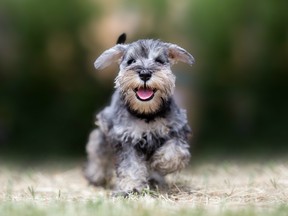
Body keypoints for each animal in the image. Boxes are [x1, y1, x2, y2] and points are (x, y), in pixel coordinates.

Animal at [84, 34, 195, 196]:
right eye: (131, 61)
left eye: (159, 61)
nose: (145, 73)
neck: (146, 113)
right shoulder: (126, 139)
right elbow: (131, 166)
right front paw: (131, 187)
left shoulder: (177, 129)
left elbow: (175, 152)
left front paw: (160, 163)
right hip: (103, 135)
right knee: (98, 152)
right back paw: (95, 176)